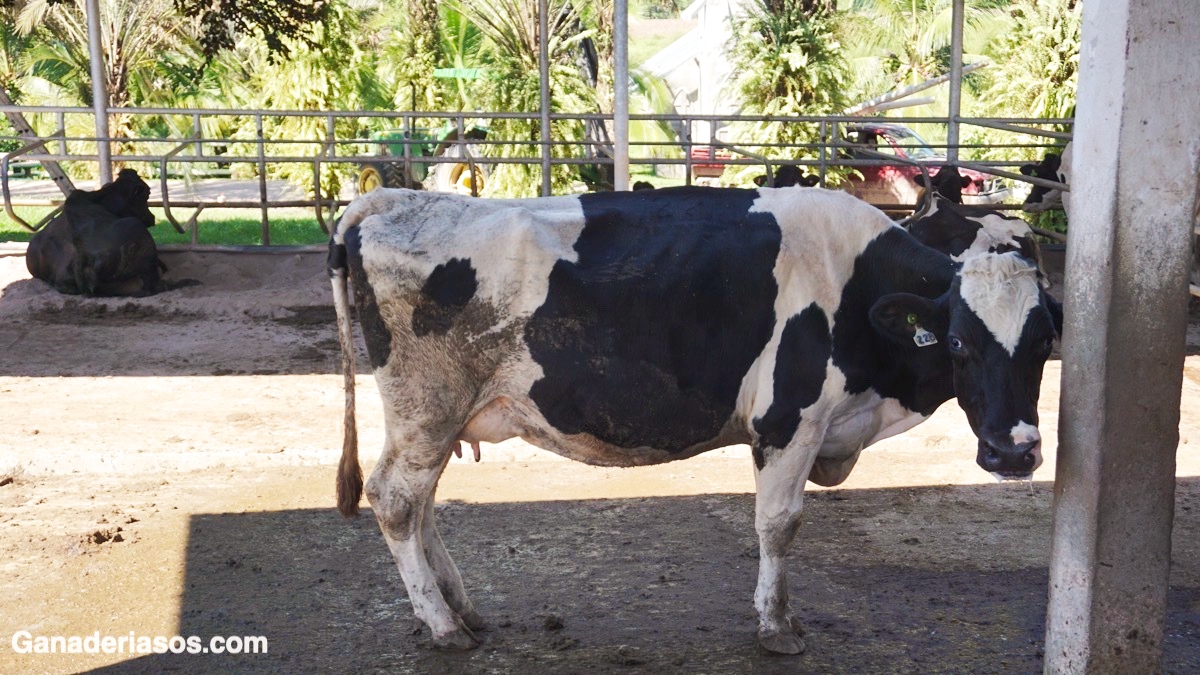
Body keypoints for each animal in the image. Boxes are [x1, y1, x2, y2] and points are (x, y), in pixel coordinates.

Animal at [326, 183, 1060, 653]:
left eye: (1043, 342)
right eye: (958, 342)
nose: (1015, 451)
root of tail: (388, 198)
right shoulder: (787, 422)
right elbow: (779, 523)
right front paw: (776, 627)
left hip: (437, 417)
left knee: (422, 503)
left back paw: (463, 610)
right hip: (427, 407)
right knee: (396, 499)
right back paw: (444, 626)